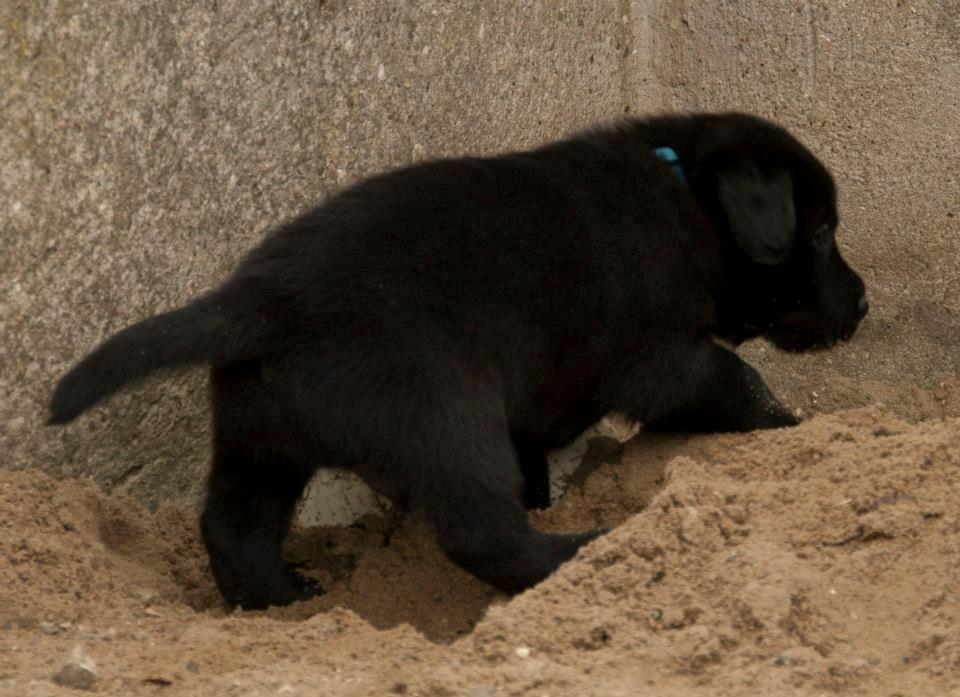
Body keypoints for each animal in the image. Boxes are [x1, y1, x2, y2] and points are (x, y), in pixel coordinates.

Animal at [48, 111, 868, 608]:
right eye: (821, 230)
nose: (861, 304)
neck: (685, 192)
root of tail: (265, 300)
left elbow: (536, 455)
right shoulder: (662, 353)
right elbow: (736, 378)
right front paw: (789, 425)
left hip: (260, 435)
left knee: (235, 527)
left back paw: (281, 599)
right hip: (447, 415)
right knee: (483, 531)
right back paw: (583, 552)